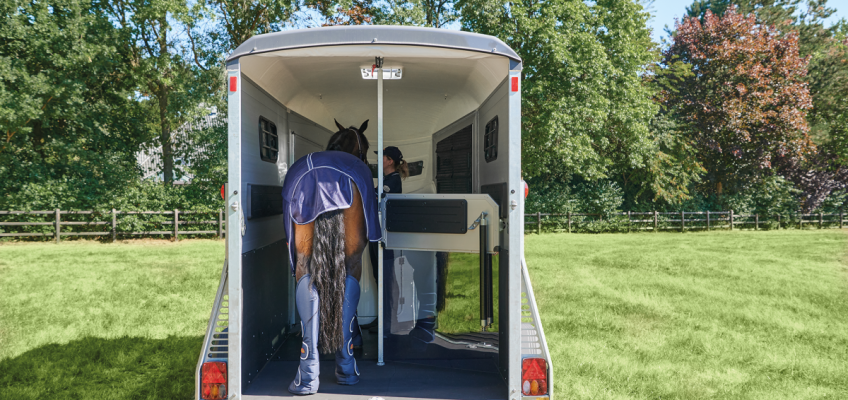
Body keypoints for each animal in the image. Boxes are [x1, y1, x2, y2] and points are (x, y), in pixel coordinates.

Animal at [284, 118, 380, 394]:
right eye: (365, 146)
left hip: (302, 256)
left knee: (308, 290)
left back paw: (305, 379)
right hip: (353, 257)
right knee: (348, 288)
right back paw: (347, 368)